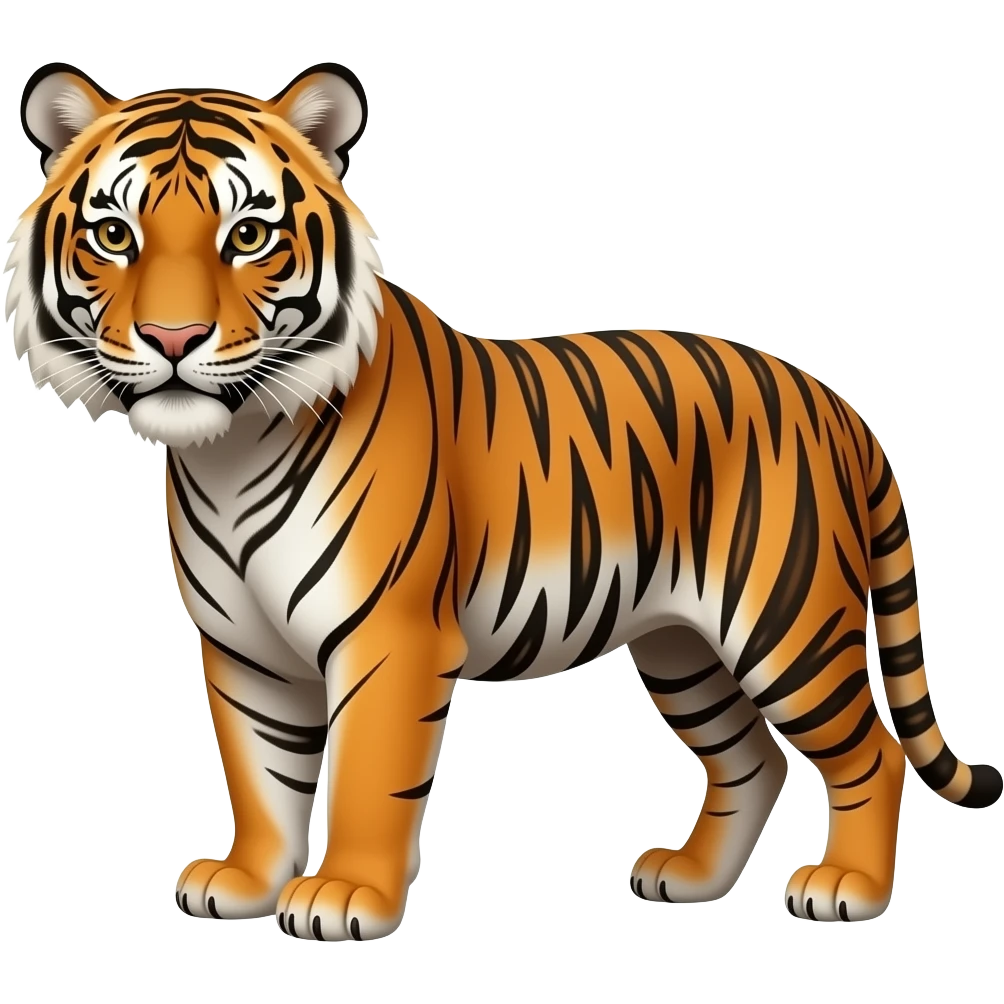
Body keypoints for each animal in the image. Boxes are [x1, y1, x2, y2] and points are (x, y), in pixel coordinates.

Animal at [5, 59, 999, 942]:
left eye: (247, 236)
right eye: (114, 236)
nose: (173, 337)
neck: (231, 451)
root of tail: (835, 402)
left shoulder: (391, 637)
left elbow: (365, 776)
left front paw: (345, 897)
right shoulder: (246, 650)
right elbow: (261, 775)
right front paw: (247, 881)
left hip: (787, 623)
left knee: (870, 752)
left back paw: (848, 890)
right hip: (681, 644)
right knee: (751, 759)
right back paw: (690, 877)